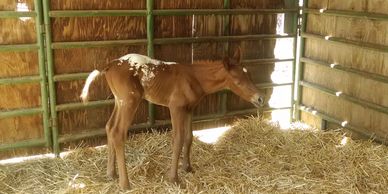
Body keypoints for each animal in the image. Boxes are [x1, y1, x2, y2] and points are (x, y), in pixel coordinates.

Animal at [80, 47, 266, 189]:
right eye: (237, 81)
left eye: (249, 75)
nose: (260, 99)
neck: (194, 78)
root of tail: (109, 65)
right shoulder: (175, 108)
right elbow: (177, 139)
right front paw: (174, 179)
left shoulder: (189, 109)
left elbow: (189, 137)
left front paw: (188, 167)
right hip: (129, 101)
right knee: (118, 132)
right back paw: (125, 184)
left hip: (119, 101)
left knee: (109, 127)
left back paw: (111, 174)